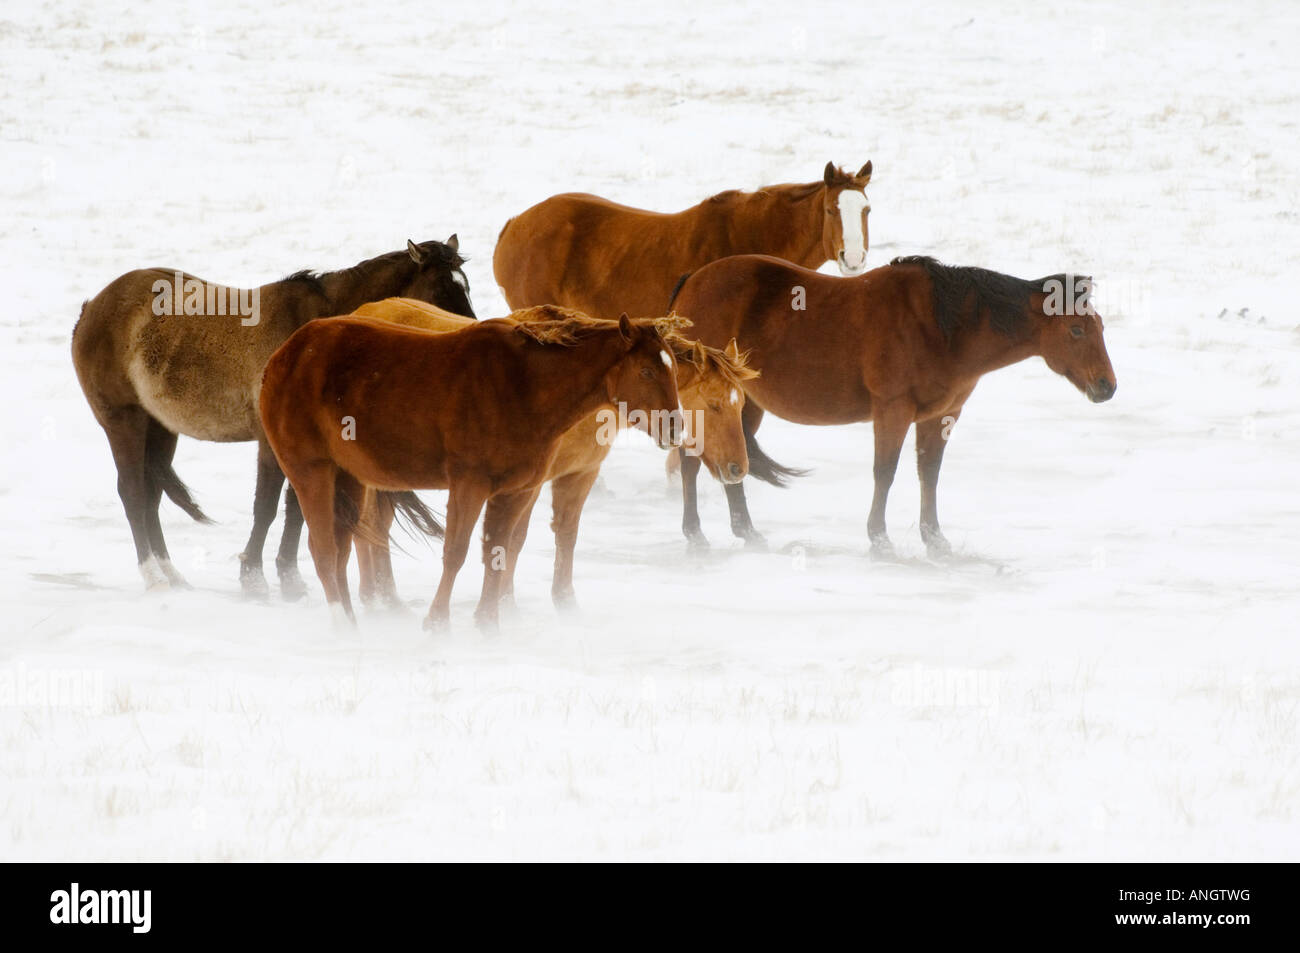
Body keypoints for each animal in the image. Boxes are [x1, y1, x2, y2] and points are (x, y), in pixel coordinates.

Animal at [71, 237, 474, 597]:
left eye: (465, 285)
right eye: (442, 287)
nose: (469, 331)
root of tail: (92, 308)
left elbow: (296, 509)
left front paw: (290, 577)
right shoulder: (271, 441)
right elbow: (265, 506)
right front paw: (253, 577)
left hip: (160, 428)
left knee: (151, 496)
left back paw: (172, 574)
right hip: (124, 422)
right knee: (133, 493)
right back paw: (153, 576)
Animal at [258, 310, 685, 630]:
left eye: (672, 369)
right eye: (647, 372)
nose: (676, 429)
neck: (523, 385)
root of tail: (285, 354)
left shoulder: (515, 491)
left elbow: (498, 551)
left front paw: (488, 622)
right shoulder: (469, 484)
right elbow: (456, 552)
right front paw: (438, 622)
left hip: (348, 476)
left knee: (342, 549)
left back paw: (350, 617)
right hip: (311, 471)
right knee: (324, 549)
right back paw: (342, 624)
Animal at [344, 297, 757, 612]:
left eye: (740, 405)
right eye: (714, 404)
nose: (739, 468)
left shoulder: (580, 474)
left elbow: (565, 535)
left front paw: (564, 601)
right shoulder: (531, 480)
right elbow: (514, 539)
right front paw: (506, 602)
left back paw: (384, 594)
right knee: (369, 525)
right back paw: (377, 597)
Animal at [665, 254, 1118, 555]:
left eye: (1099, 326)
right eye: (1076, 329)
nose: (1107, 386)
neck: (939, 327)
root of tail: (691, 281)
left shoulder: (941, 416)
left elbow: (929, 474)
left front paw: (934, 538)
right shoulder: (892, 410)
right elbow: (885, 472)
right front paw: (879, 538)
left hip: (745, 406)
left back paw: (747, 532)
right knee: (690, 463)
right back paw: (695, 534)